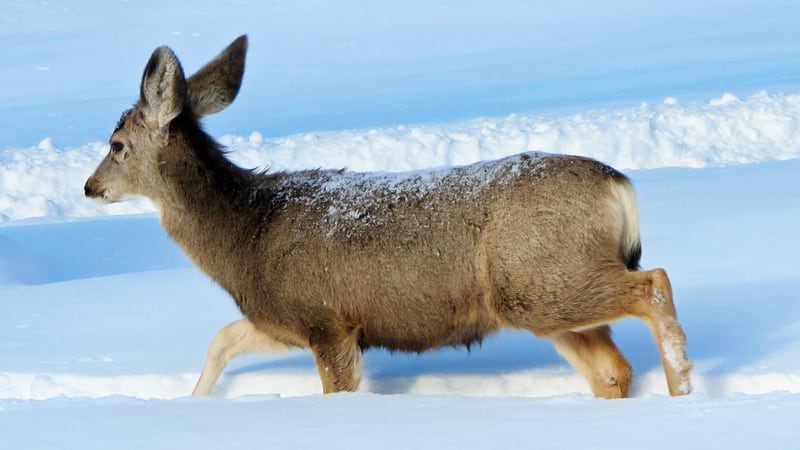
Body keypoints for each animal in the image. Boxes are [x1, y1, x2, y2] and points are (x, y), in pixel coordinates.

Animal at [84, 35, 692, 399]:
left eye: (116, 145)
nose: (90, 187)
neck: (246, 234)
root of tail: (619, 185)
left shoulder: (326, 319)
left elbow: (336, 390)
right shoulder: (286, 318)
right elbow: (223, 338)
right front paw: (193, 403)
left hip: (543, 278)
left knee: (655, 283)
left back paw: (683, 391)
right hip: (543, 296)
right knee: (612, 368)